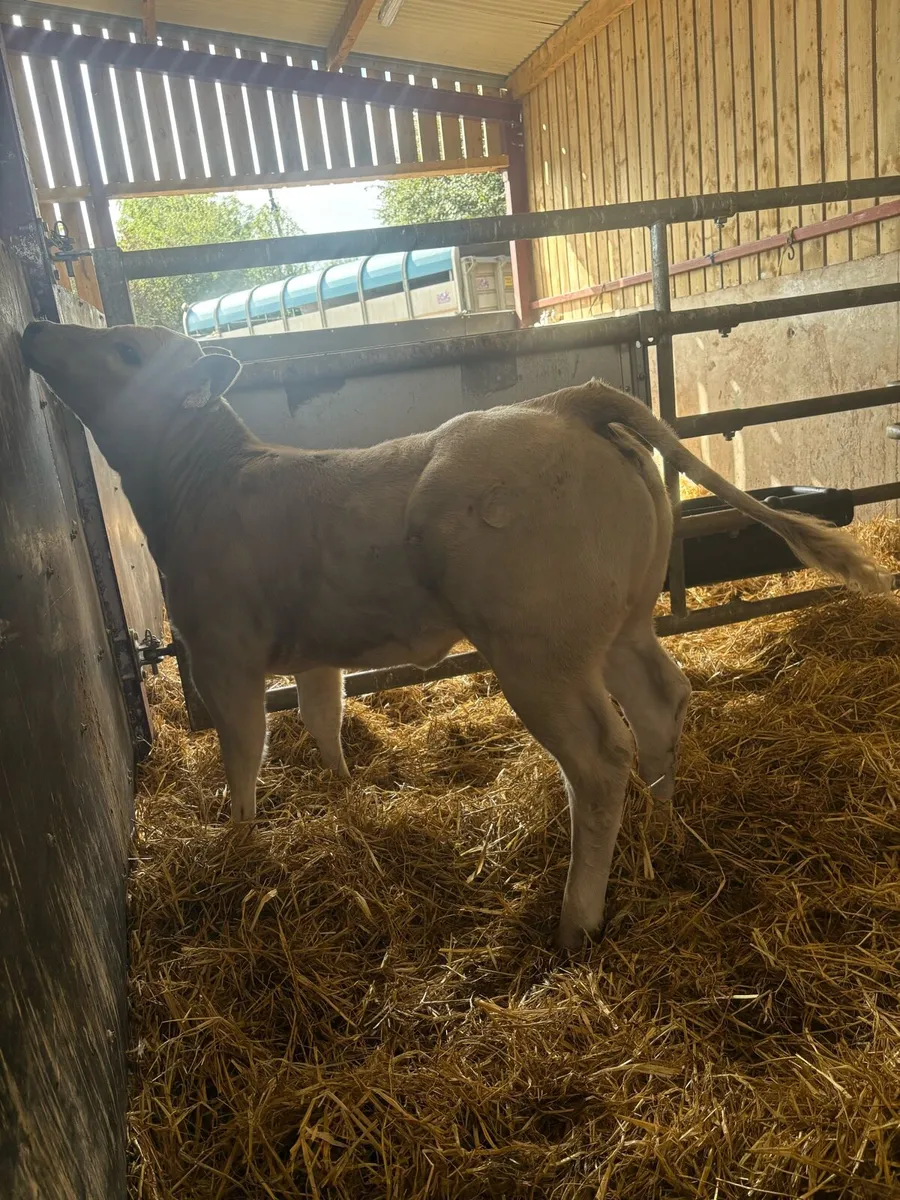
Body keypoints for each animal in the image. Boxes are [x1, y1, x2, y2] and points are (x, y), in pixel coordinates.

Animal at [21, 320, 891, 949]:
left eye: (127, 348)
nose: (35, 325)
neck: (203, 481)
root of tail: (560, 401)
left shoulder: (222, 653)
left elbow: (245, 754)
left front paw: (238, 843)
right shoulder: (315, 652)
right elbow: (323, 718)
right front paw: (346, 794)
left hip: (537, 649)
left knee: (599, 757)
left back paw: (577, 919)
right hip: (619, 624)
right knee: (661, 700)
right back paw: (667, 822)